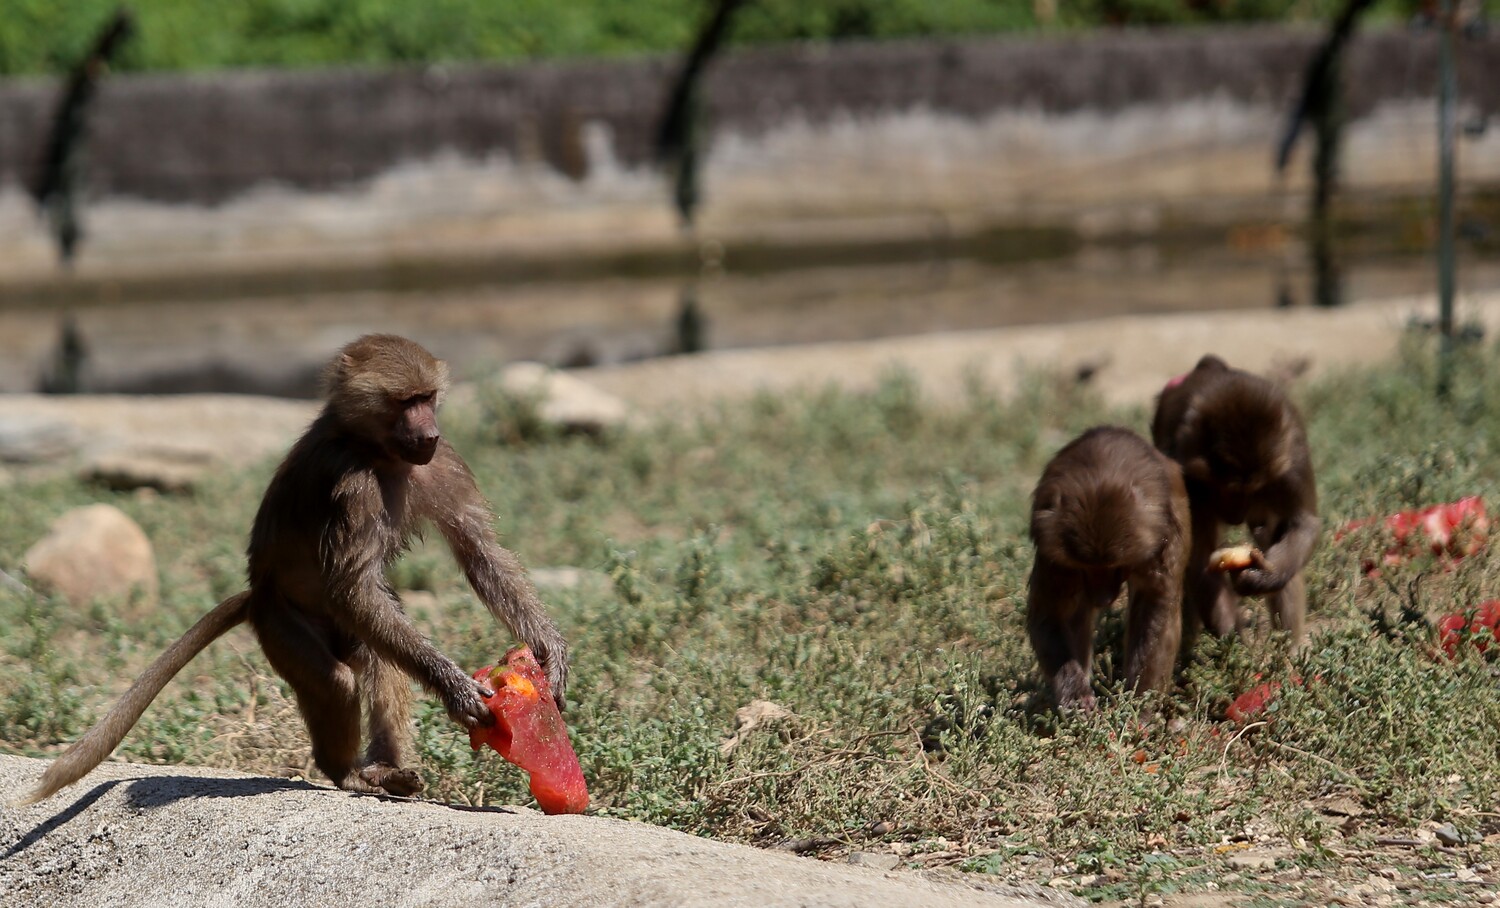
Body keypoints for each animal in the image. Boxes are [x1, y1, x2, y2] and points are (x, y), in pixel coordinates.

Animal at [23, 334, 573, 798]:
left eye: (427, 397)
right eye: (403, 401)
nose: (430, 434)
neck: (374, 449)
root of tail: (257, 593)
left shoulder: (445, 462)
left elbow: (480, 555)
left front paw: (549, 654)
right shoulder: (350, 485)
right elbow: (353, 587)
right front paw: (458, 690)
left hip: (346, 631)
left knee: (382, 656)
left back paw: (385, 771)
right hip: (281, 625)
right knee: (338, 679)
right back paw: (347, 773)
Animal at [1026, 426, 1188, 708]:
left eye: (1115, 565)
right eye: (1087, 566)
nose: (1102, 598)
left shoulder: (1162, 539)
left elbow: (1155, 607)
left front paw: (1139, 706)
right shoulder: (1055, 554)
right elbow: (1050, 614)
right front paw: (1076, 695)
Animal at [1152, 352, 1320, 645]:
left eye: (1253, 491)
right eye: (1226, 490)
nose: (1236, 515)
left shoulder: (1292, 463)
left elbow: (1304, 524)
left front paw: (1263, 577)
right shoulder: (1187, 477)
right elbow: (1199, 558)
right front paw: (1237, 645)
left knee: (1270, 535)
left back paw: (1290, 647)